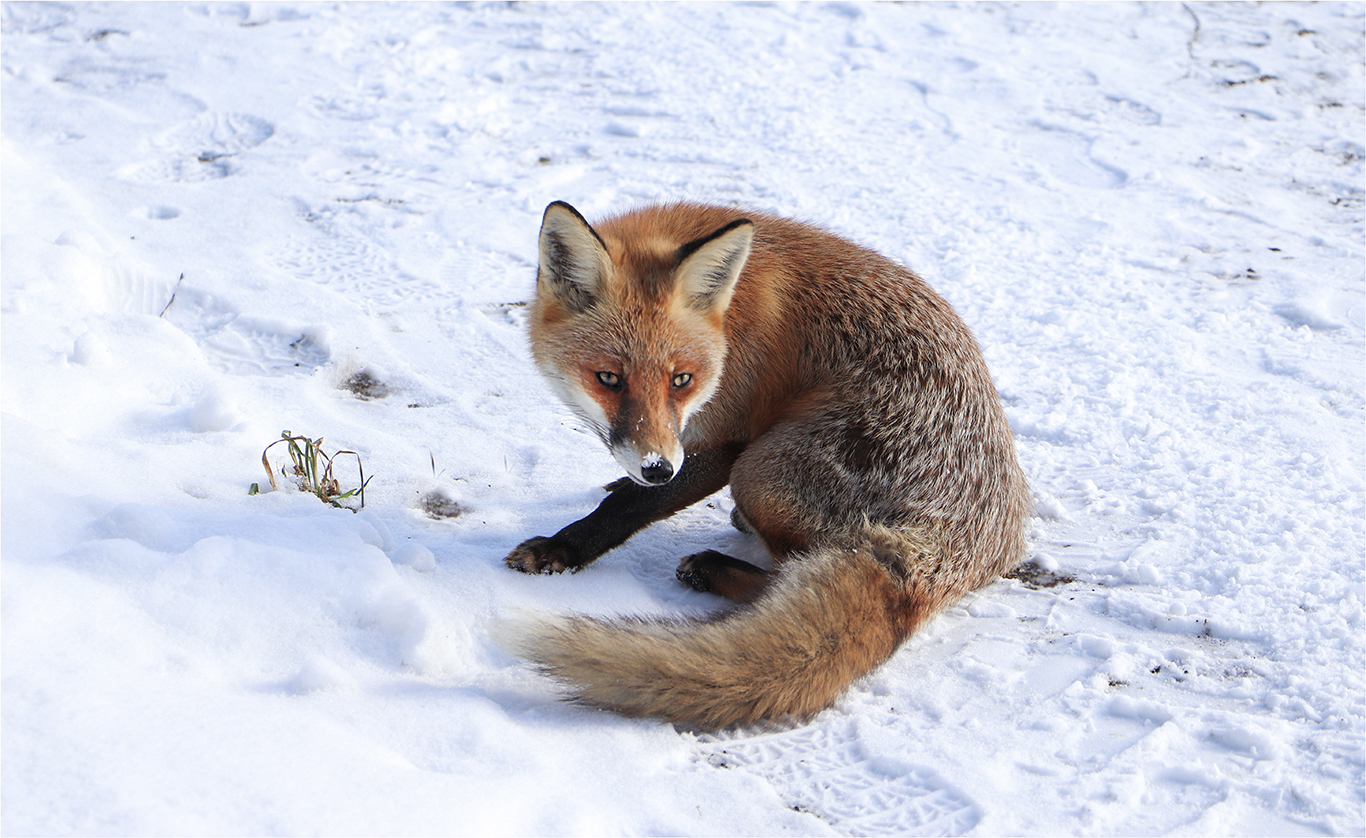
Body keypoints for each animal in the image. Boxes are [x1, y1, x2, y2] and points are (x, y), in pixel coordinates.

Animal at [497, 200, 1027, 727]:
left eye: (681, 380)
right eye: (608, 378)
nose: (656, 468)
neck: (729, 318)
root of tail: (939, 557)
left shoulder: (728, 440)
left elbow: (630, 507)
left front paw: (562, 548)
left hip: (759, 470)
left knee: (785, 576)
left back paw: (711, 568)